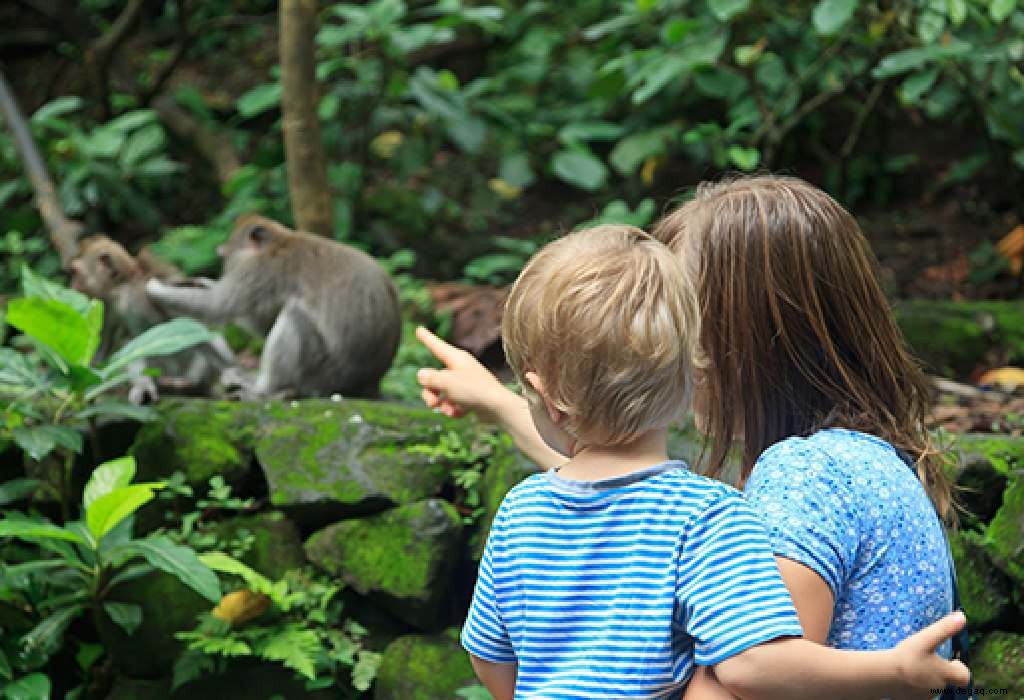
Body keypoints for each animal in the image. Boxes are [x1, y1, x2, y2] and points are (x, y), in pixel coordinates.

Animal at [68, 233, 235, 401]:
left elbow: (194, 327)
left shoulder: (149, 291)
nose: (72, 286)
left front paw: (235, 376)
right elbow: (106, 343)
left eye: (75, 272)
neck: (122, 289)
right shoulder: (109, 305)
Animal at [144, 212, 399, 399]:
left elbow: (220, 305)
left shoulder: (260, 270)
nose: (224, 268)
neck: (280, 240)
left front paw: (156, 289)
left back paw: (262, 388)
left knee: (293, 315)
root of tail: (368, 385)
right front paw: (201, 282)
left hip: (321, 376)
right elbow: (261, 323)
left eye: (226, 257)